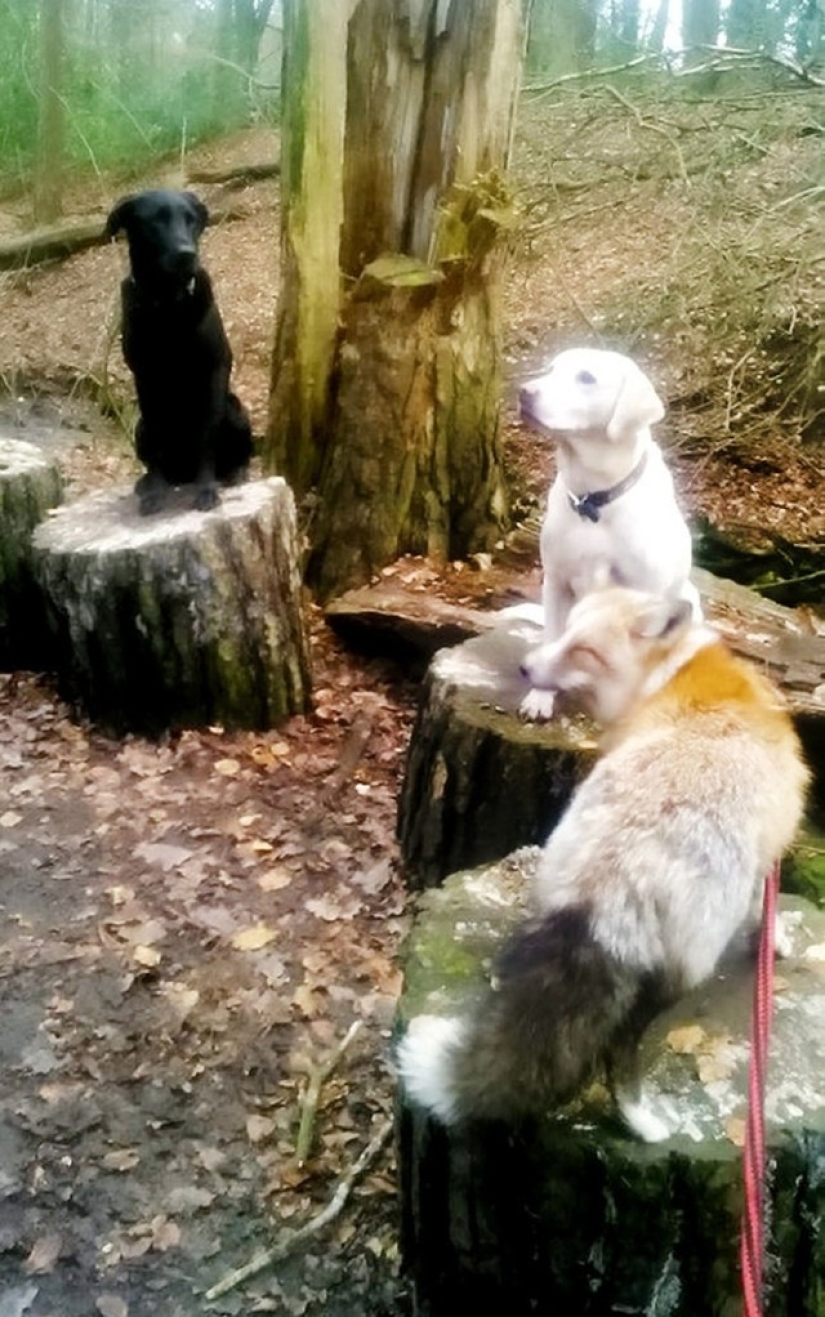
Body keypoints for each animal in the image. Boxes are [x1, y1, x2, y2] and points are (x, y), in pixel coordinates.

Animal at [107, 189, 251, 513]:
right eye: (155, 221)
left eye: (191, 219)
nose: (187, 254)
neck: (168, 304)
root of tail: (183, 474)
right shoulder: (144, 376)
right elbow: (158, 439)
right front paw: (156, 493)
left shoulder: (215, 368)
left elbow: (207, 434)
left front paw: (207, 489)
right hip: (139, 427)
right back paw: (147, 482)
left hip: (234, 410)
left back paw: (234, 473)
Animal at [395, 587, 806, 1143]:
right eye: (565, 632)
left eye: (582, 649)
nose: (525, 667)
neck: (668, 675)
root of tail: (613, 875)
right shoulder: (762, 862)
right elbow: (764, 906)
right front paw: (774, 940)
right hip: (687, 965)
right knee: (618, 1049)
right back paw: (639, 1121)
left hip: (552, 890)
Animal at [516, 347, 695, 721]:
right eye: (551, 369)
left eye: (586, 377)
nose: (524, 392)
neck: (593, 496)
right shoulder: (555, 581)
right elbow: (553, 639)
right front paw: (540, 697)